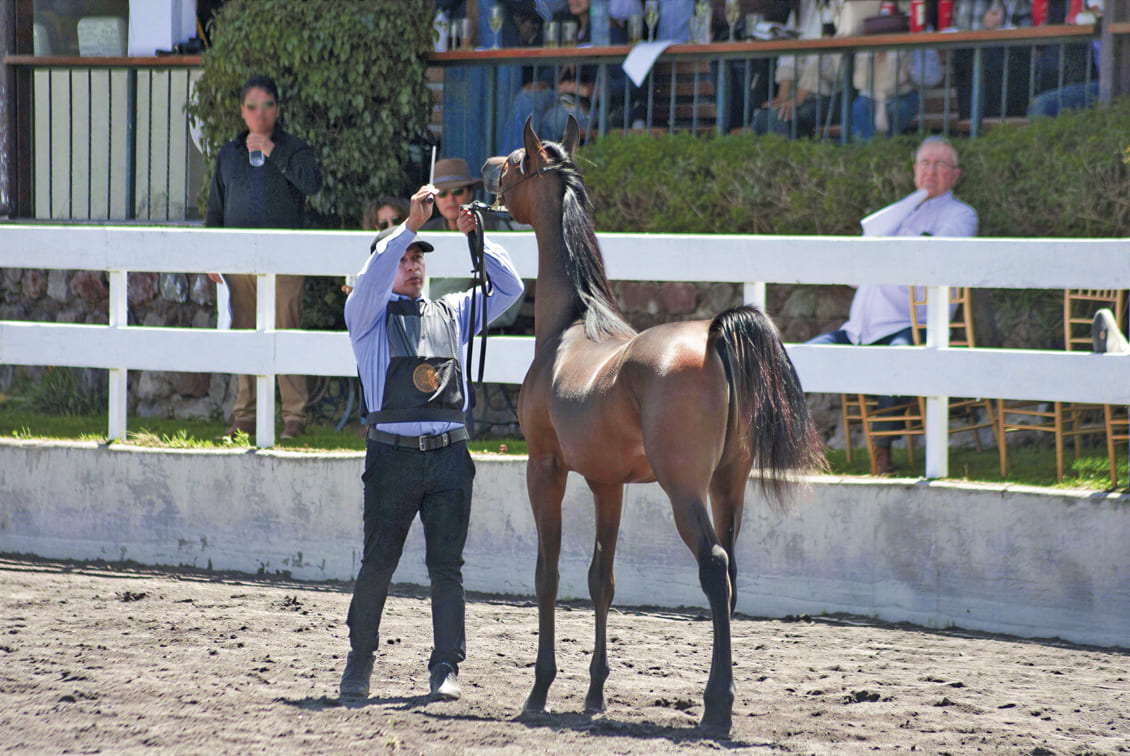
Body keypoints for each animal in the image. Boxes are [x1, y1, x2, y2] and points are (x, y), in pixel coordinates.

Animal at [482, 116, 825, 739]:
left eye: (519, 160)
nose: (487, 168)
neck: (572, 327)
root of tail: (712, 335)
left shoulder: (545, 470)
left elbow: (547, 575)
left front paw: (540, 690)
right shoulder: (607, 484)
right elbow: (602, 579)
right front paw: (594, 693)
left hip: (683, 490)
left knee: (714, 568)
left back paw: (717, 708)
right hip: (727, 486)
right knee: (731, 574)